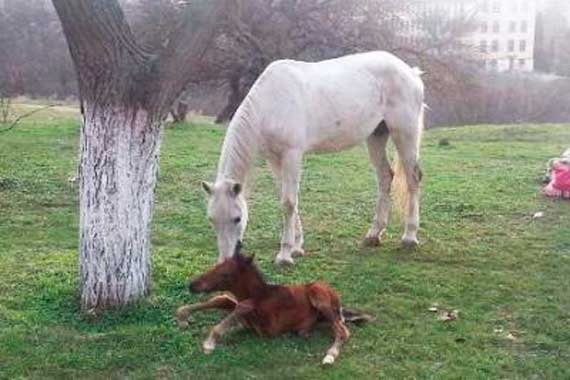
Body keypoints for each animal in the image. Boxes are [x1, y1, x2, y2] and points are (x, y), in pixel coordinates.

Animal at [178, 243, 372, 366]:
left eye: (226, 274)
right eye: (216, 265)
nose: (192, 285)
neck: (260, 295)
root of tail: (338, 301)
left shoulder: (270, 326)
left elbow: (242, 306)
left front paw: (209, 343)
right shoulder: (245, 315)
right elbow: (223, 300)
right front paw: (182, 317)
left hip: (319, 295)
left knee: (342, 330)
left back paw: (329, 356)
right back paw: (305, 332)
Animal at [202, 50, 424, 266]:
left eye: (237, 219)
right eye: (211, 219)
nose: (226, 261)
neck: (271, 103)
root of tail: (410, 72)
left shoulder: (292, 155)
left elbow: (288, 203)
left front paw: (285, 255)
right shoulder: (274, 159)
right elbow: (290, 200)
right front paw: (297, 247)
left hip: (404, 133)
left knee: (413, 179)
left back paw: (409, 237)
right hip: (376, 136)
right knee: (385, 178)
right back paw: (374, 235)